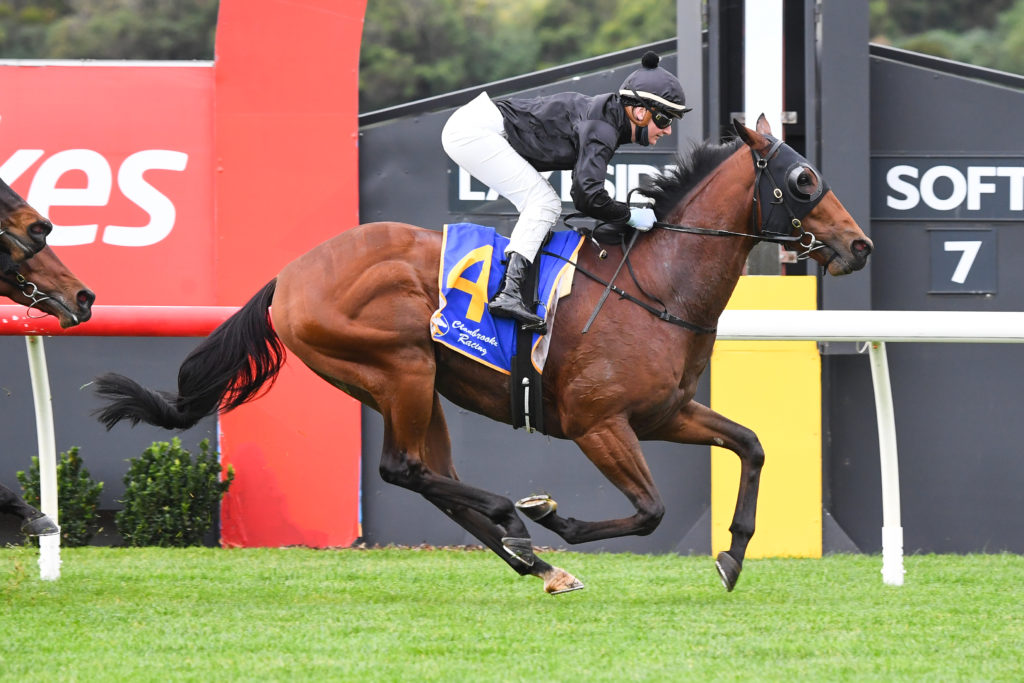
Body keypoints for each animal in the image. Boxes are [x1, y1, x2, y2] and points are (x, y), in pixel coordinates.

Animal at [93, 116, 871, 593]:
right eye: (803, 179)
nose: (859, 243)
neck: (656, 284)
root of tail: (290, 274)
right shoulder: (598, 423)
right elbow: (649, 510)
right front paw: (556, 517)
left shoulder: (664, 412)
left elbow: (752, 443)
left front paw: (734, 552)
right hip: (400, 366)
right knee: (404, 468)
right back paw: (521, 521)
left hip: (413, 385)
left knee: (432, 475)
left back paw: (534, 559)